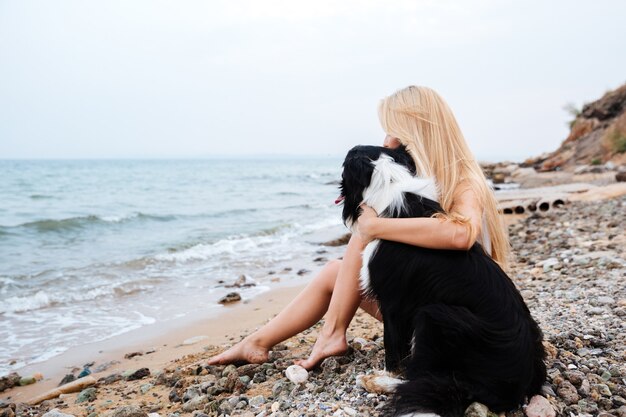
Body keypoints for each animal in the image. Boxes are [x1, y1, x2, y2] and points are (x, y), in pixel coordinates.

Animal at [336, 145, 544, 416]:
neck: (390, 182)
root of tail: (514, 390)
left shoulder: (392, 304)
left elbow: (392, 351)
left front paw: (384, 374)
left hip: (434, 316)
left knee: (425, 380)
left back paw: (377, 382)